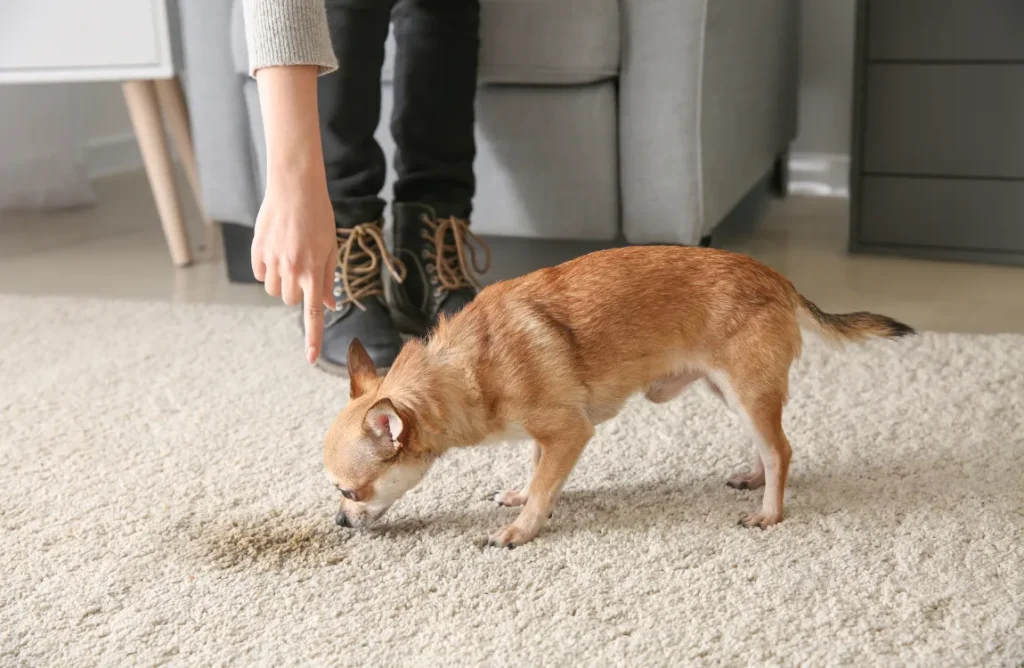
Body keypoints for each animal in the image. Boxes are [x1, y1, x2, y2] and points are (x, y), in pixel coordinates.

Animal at [321, 246, 913, 549]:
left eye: (350, 492)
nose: (339, 523)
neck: (464, 369)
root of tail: (781, 281)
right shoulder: (546, 435)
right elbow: (537, 469)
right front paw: (522, 494)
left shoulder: (569, 432)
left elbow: (545, 486)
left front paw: (521, 529)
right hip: (729, 391)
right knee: (765, 446)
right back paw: (753, 477)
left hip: (747, 389)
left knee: (780, 450)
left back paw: (769, 511)